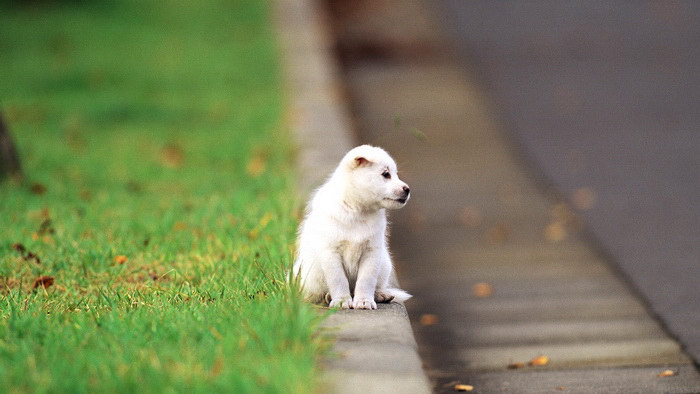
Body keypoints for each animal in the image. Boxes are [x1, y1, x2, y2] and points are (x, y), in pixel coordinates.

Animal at [294, 145, 412, 310]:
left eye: (395, 174)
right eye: (386, 174)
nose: (407, 189)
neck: (357, 211)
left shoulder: (371, 252)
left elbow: (366, 281)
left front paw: (364, 301)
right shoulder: (331, 253)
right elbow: (338, 280)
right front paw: (342, 300)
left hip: (384, 264)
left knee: (376, 286)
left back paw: (381, 295)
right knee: (316, 294)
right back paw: (327, 296)